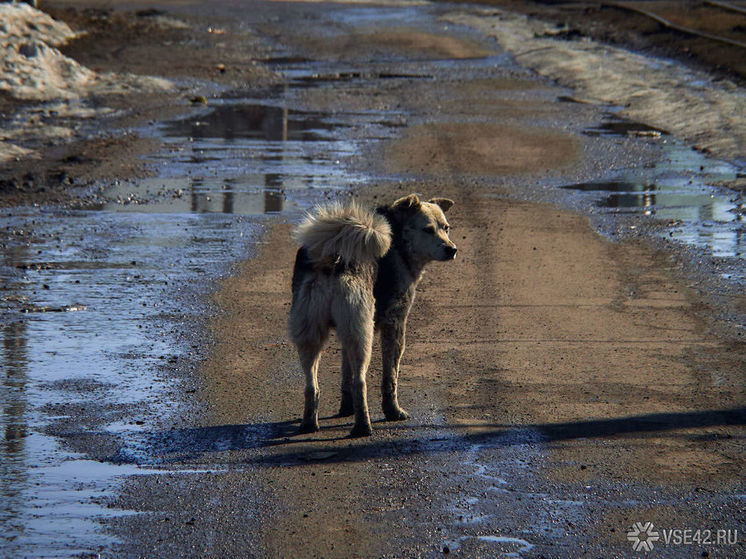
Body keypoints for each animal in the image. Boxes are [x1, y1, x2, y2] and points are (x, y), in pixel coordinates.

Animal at [288, 195, 456, 440]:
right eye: (427, 229)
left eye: (446, 228)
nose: (452, 250)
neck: (398, 239)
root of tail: (332, 256)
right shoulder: (395, 324)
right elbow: (390, 376)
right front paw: (393, 412)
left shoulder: (345, 333)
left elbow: (345, 374)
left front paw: (346, 408)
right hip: (362, 335)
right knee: (361, 382)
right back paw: (363, 427)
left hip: (313, 333)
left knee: (312, 385)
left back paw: (310, 423)